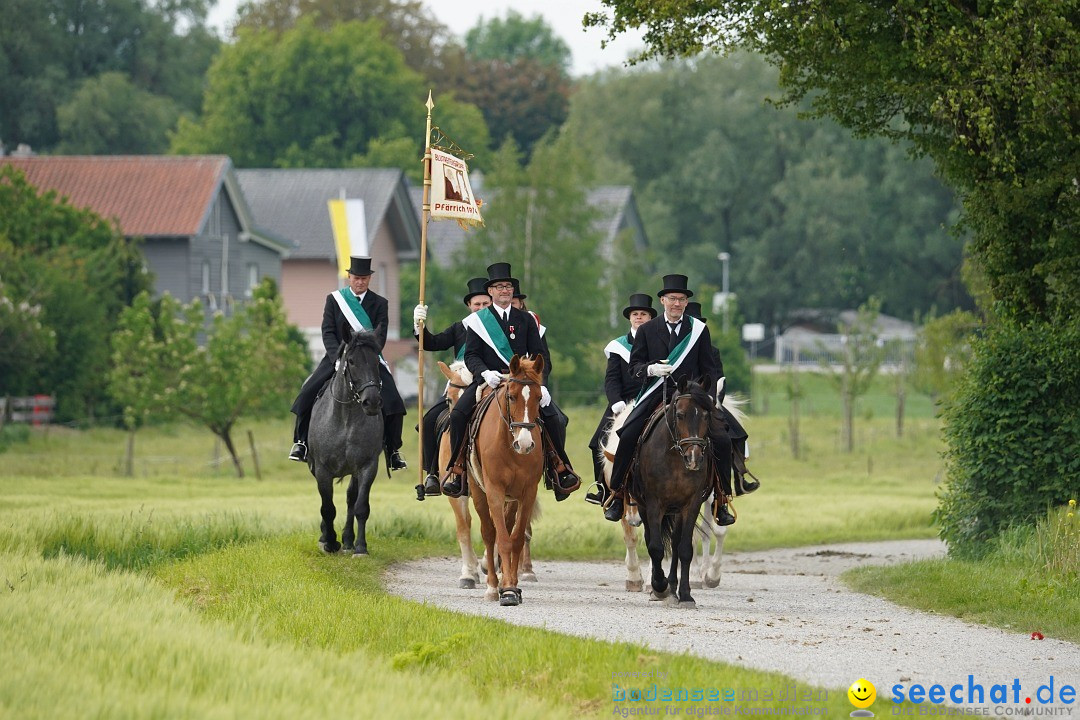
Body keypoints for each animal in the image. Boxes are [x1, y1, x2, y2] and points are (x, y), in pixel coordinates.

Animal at [308, 328, 384, 557]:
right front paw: (330, 542)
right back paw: (327, 537)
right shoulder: (322, 469)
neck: (346, 418)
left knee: (351, 498)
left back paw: (349, 540)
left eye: (377, 360)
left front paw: (360, 547)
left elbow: (361, 506)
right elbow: (327, 508)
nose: (372, 402)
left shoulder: (367, 466)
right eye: (351, 361)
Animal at [466, 354, 544, 608]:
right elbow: (501, 538)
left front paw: (511, 585)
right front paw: (505, 589)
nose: (525, 444)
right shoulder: (494, 492)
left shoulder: (528, 493)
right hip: (478, 492)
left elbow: (516, 539)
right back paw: (492, 586)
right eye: (511, 396)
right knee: (489, 534)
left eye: (540, 397)